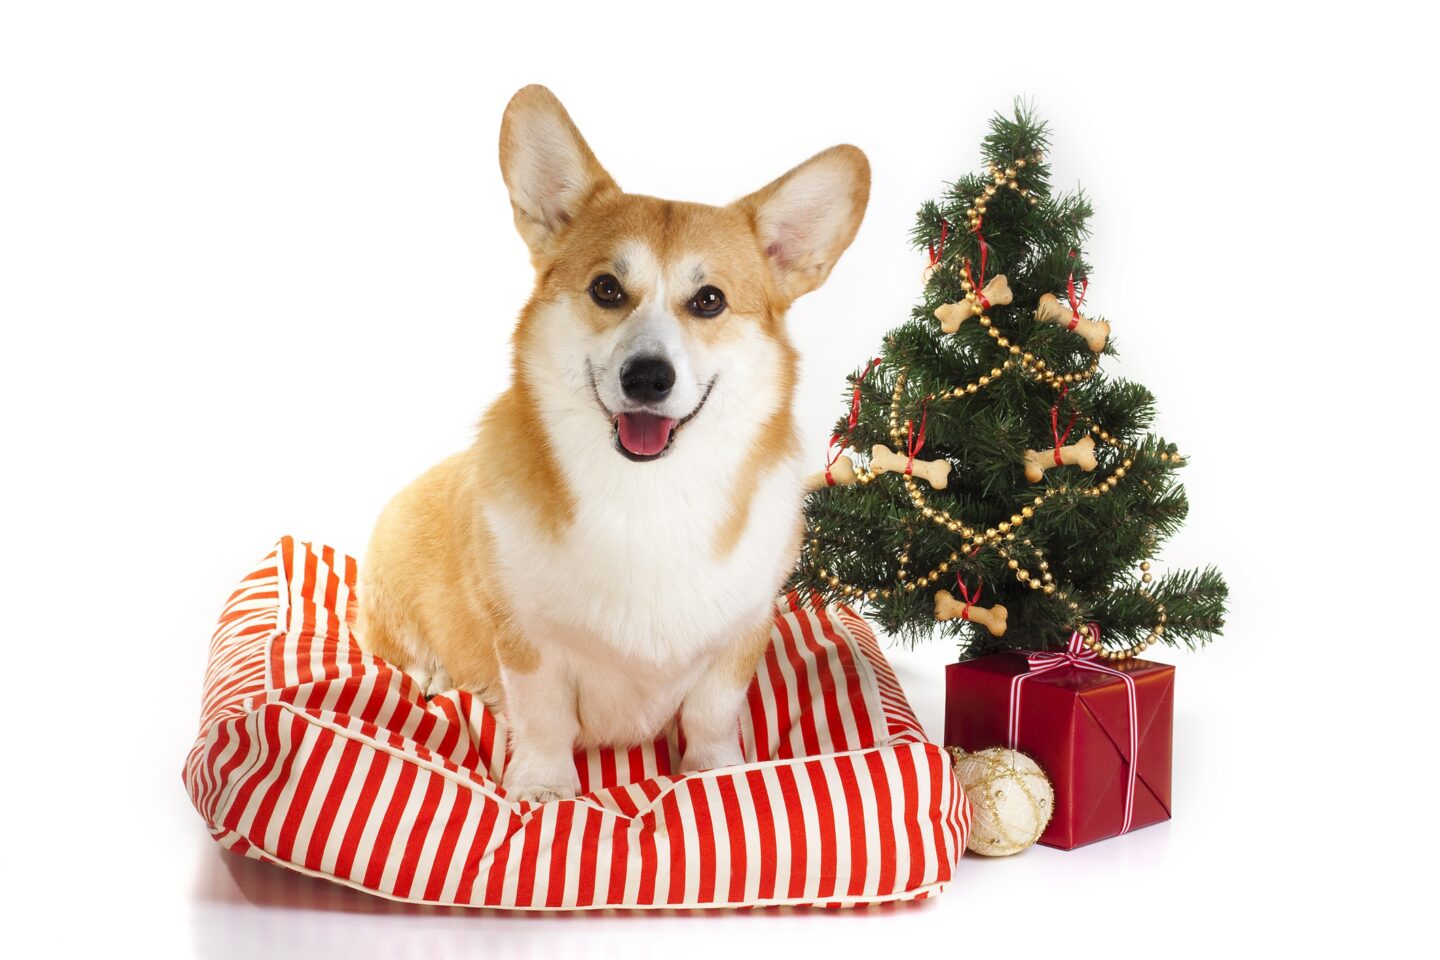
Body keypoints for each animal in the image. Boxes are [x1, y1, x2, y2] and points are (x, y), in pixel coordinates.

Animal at [357, 84, 864, 805]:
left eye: (709, 301)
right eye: (606, 289)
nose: (647, 377)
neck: (647, 494)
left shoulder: (740, 636)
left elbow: (713, 714)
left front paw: (715, 773)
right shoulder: (526, 639)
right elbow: (543, 717)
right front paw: (543, 788)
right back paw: (430, 674)